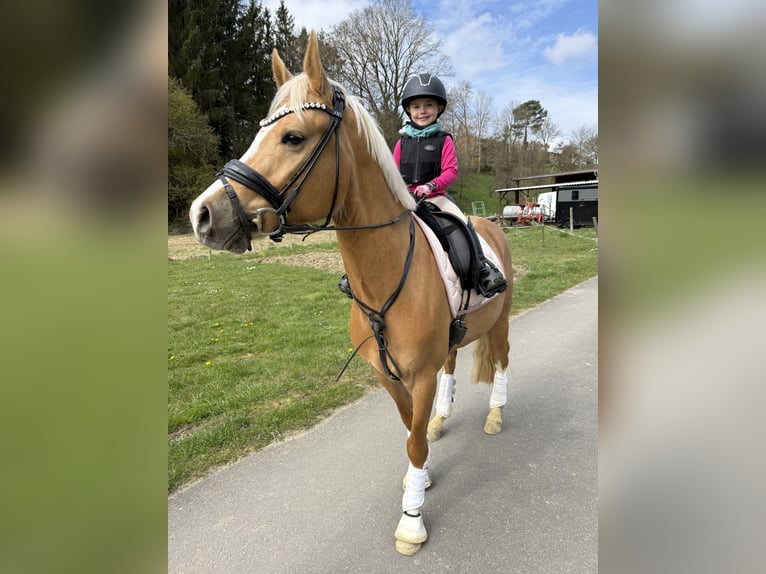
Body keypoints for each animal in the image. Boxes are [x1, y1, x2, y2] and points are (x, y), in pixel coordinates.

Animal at [189, 31, 512, 556]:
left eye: (293, 137)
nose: (202, 215)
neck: (384, 276)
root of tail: (491, 224)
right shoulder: (388, 375)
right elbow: (411, 431)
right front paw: (420, 476)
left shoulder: (417, 375)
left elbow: (413, 442)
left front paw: (411, 519)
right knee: (451, 365)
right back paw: (443, 418)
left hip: (500, 322)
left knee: (501, 362)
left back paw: (496, 416)